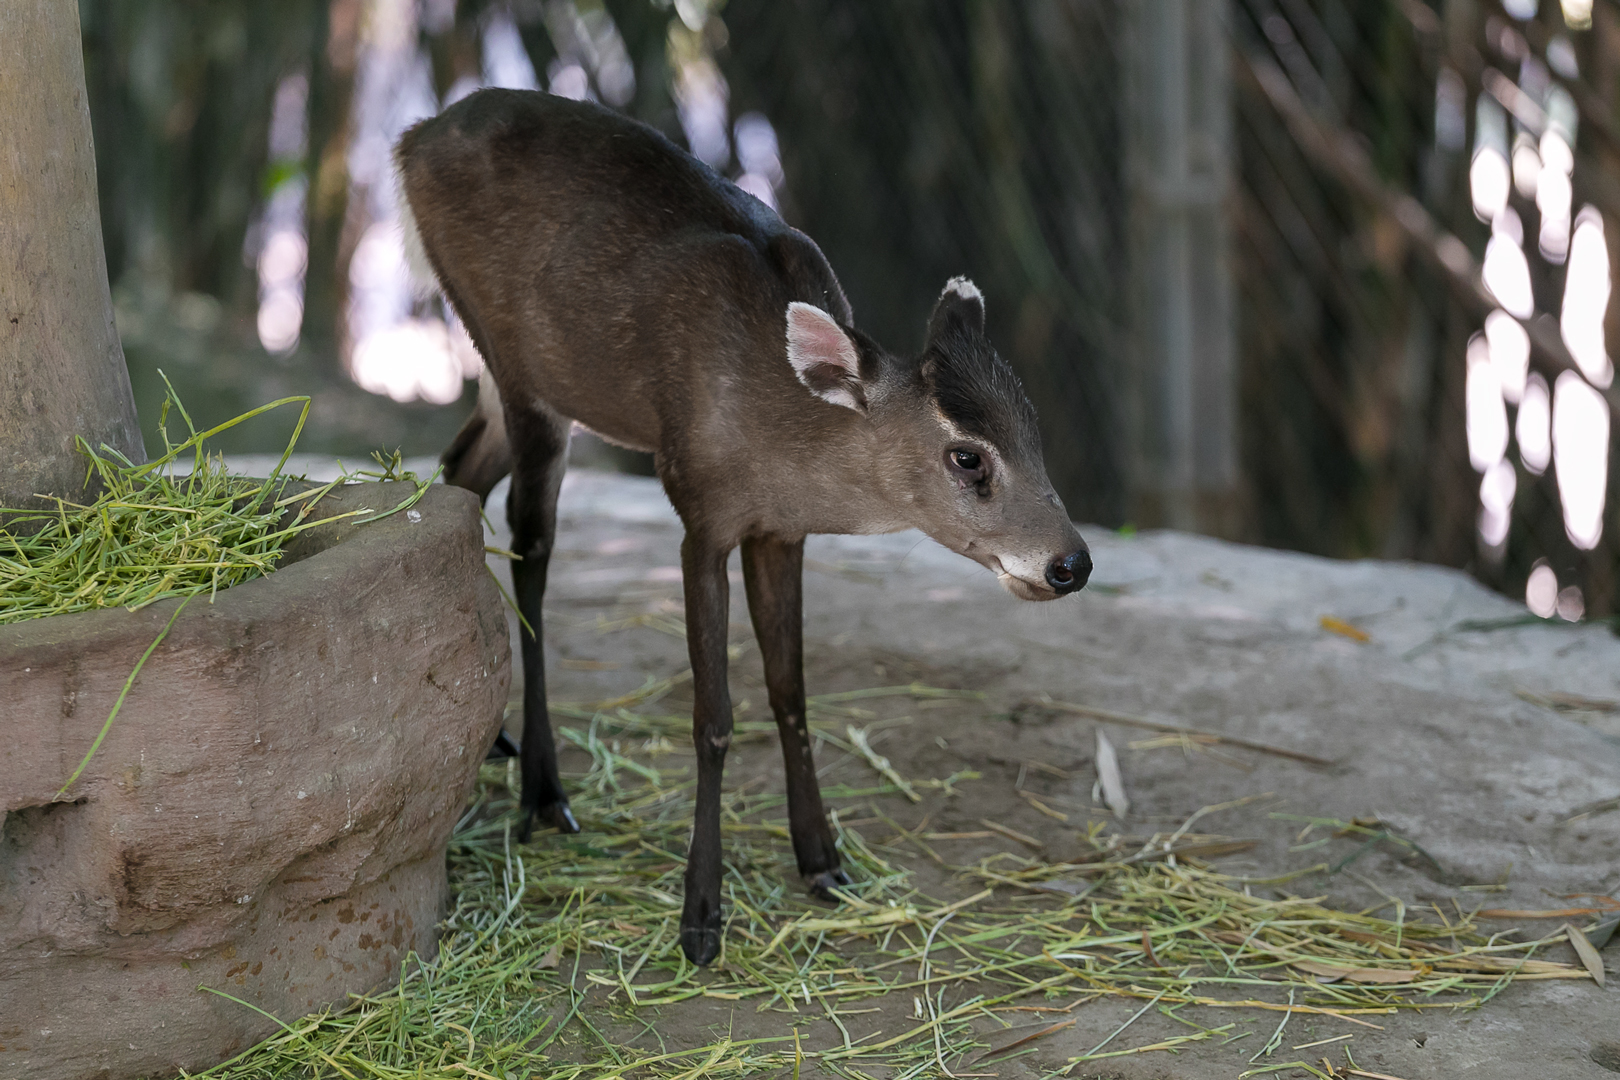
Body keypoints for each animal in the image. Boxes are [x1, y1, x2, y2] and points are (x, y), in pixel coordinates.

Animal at [395, 89, 1091, 966]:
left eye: (1034, 429)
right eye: (967, 456)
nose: (1071, 562)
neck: (774, 431)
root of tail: (412, 137)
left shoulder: (780, 532)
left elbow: (790, 690)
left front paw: (823, 860)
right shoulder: (701, 511)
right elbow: (713, 718)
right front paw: (700, 916)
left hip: (507, 376)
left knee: (459, 470)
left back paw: (499, 747)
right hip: (519, 363)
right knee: (531, 541)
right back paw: (544, 790)